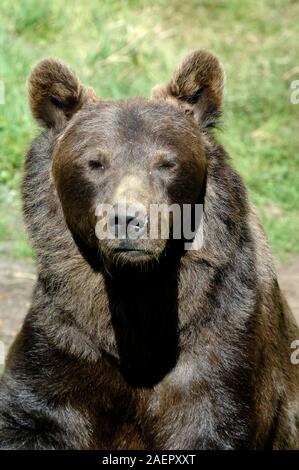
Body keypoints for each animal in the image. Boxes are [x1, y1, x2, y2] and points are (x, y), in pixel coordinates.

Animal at [0, 49, 299, 450]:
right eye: (95, 161)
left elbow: (210, 416)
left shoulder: (222, 341)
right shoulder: (63, 339)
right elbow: (33, 414)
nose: (128, 219)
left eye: (167, 162)